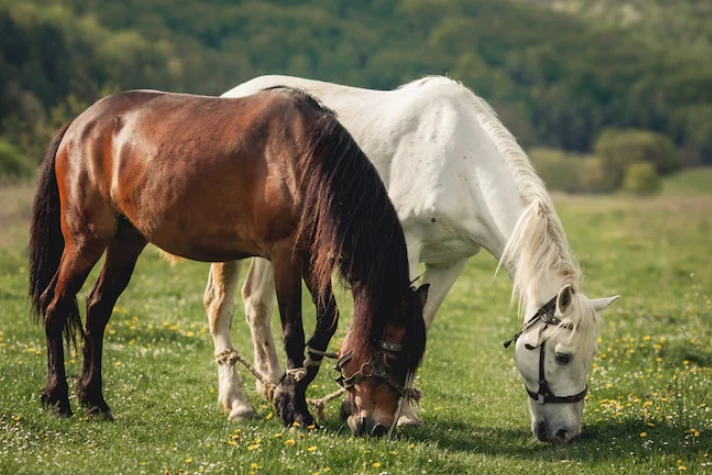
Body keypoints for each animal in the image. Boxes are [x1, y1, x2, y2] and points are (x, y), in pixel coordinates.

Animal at [28, 87, 428, 433]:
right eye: (393, 356)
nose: (377, 426)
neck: (304, 158)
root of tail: (79, 125)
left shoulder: (311, 259)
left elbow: (325, 323)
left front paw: (288, 396)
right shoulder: (285, 257)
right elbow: (294, 333)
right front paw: (296, 411)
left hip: (126, 242)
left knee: (97, 310)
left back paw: (94, 400)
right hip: (85, 240)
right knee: (55, 305)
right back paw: (58, 398)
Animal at [205, 75, 620, 443]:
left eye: (591, 354)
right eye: (563, 356)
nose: (565, 433)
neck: (460, 163)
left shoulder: (451, 263)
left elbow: (422, 321)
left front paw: (403, 411)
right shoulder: (401, 251)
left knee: (255, 303)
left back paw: (273, 385)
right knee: (220, 304)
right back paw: (238, 403)